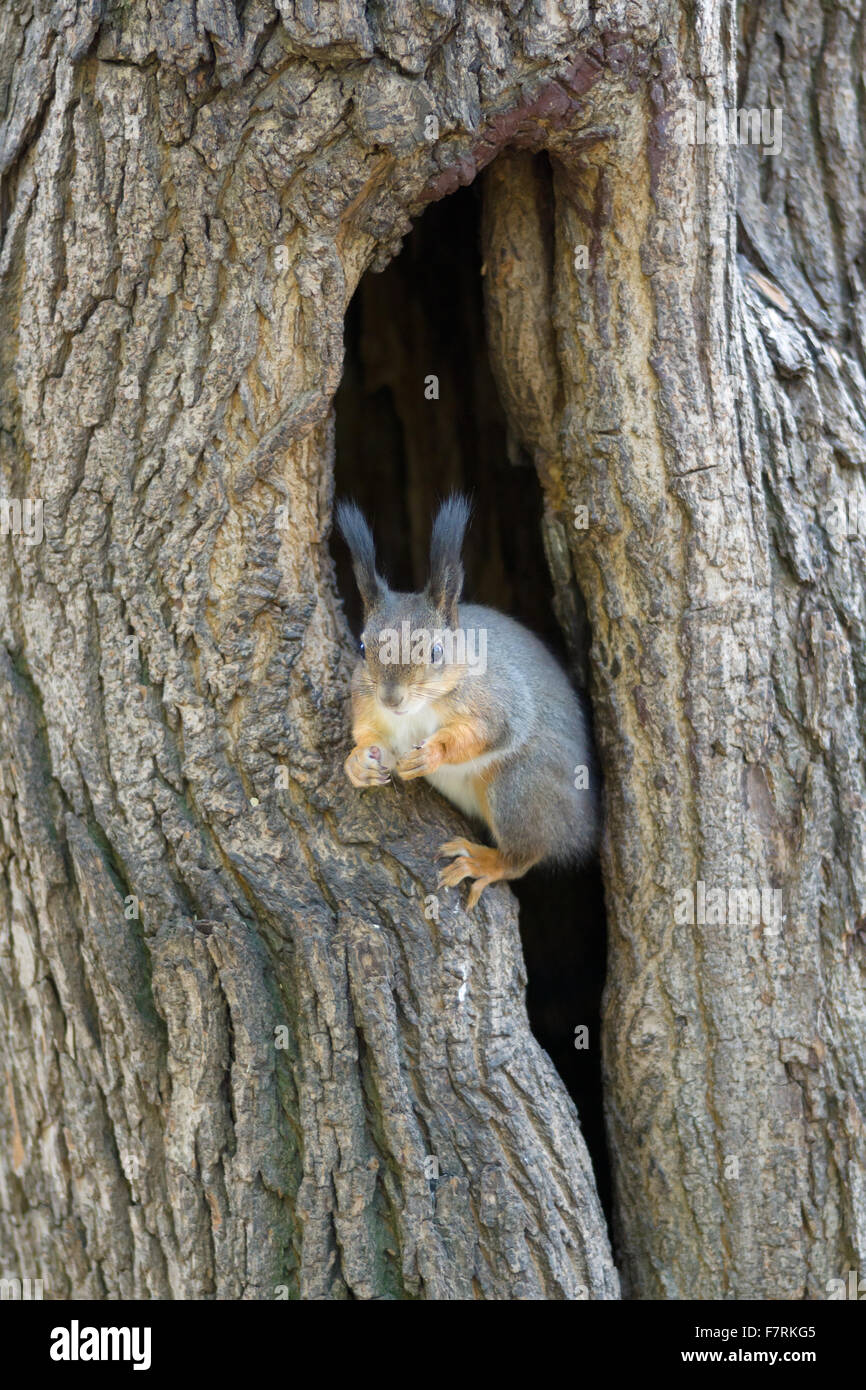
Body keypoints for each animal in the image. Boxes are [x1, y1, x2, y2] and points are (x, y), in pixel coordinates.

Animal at [335, 494, 600, 906]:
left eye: (436, 651)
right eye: (362, 648)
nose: (391, 697)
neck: (414, 711)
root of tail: (584, 829)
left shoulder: (499, 699)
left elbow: (493, 730)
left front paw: (433, 753)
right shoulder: (366, 704)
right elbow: (368, 735)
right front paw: (359, 762)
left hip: (520, 787)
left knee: (526, 855)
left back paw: (484, 862)